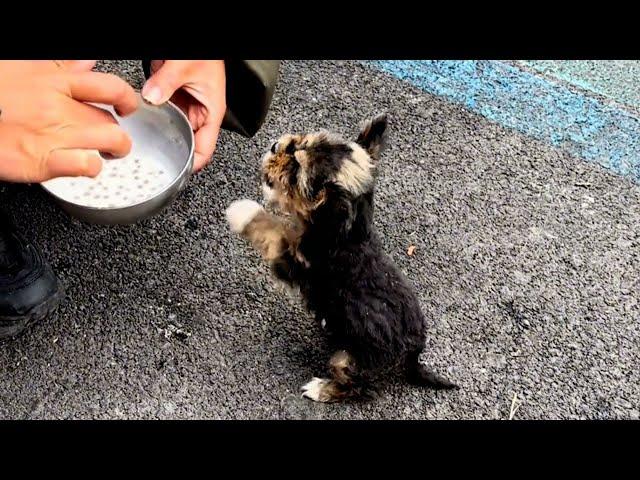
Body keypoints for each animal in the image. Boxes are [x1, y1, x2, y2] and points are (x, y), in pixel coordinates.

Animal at [225, 115, 456, 402]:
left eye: (296, 167)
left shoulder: (299, 264)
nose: (275, 145)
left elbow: (275, 231)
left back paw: (322, 389)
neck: (347, 231)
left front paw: (243, 212)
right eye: (302, 141)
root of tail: (414, 355)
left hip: (349, 360)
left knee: (360, 387)